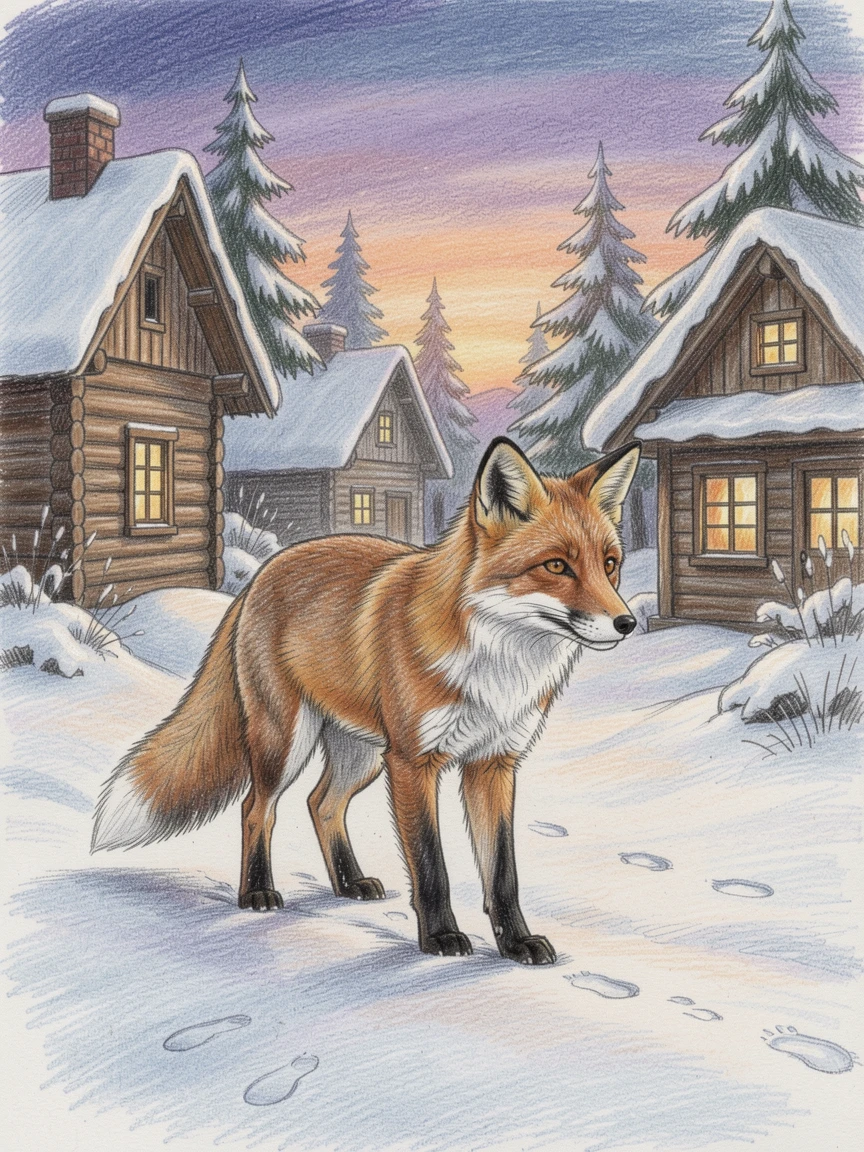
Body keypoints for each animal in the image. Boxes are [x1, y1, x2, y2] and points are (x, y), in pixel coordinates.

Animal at [92, 437, 641, 964]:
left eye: (609, 565)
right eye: (557, 566)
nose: (627, 623)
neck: (498, 666)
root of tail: (261, 575)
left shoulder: (494, 763)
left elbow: (502, 874)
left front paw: (516, 944)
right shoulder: (414, 762)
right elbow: (431, 865)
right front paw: (440, 938)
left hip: (363, 756)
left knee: (321, 804)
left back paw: (348, 883)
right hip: (289, 743)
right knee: (256, 807)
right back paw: (257, 893)